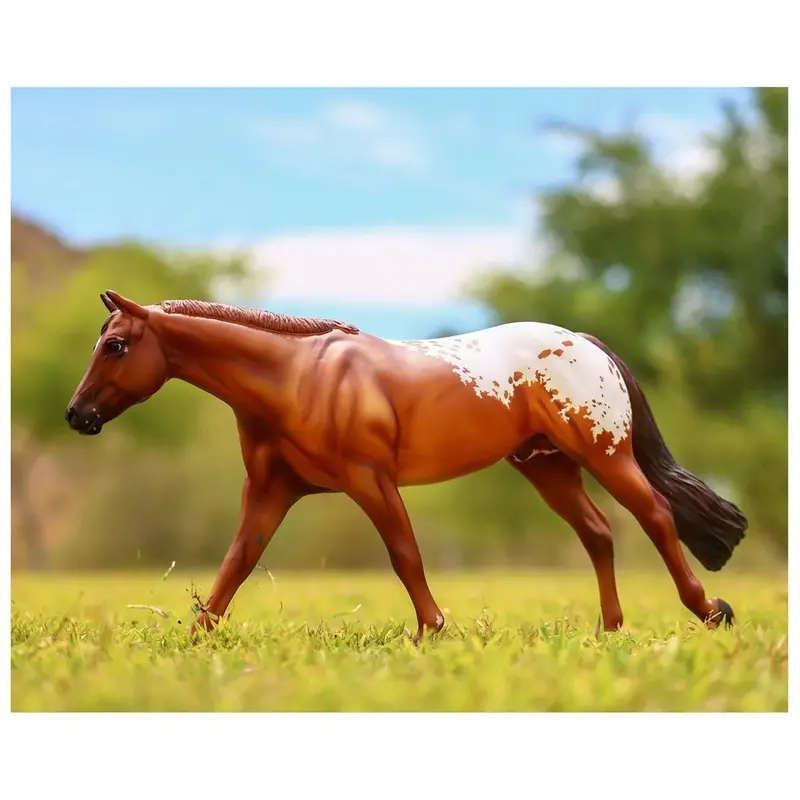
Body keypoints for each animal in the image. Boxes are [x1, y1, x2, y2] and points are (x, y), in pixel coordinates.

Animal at [65, 290, 747, 641]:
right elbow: (236, 565)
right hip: (547, 467)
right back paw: (609, 630)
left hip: (604, 454)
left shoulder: (371, 481)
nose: (77, 415)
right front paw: (193, 643)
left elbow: (404, 555)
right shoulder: (270, 491)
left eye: (116, 345)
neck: (297, 376)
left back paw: (711, 611)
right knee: (599, 533)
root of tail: (585, 343)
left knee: (655, 517)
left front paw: (431, 631)